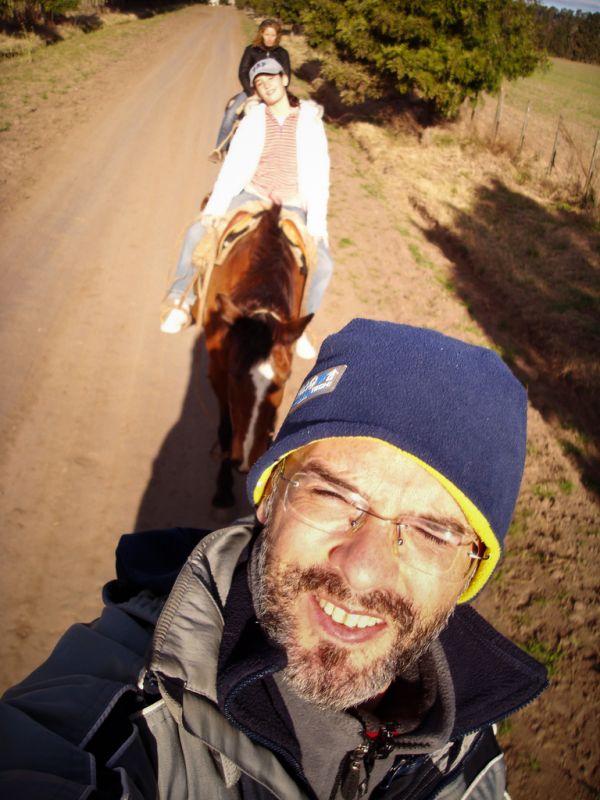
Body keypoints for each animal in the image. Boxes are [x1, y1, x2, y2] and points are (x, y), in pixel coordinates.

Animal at [203, 202, 312, 506]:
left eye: (285, 380)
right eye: (234, 376)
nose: (246, 459)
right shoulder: (217, 373)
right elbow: (226, 429)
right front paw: (223, 490)